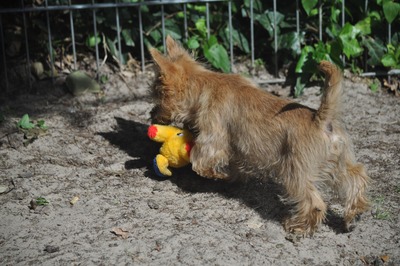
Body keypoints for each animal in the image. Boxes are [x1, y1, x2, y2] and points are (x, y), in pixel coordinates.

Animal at [149, 35, 368, 235]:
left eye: (157, 96)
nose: (151, 115)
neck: (203, 84)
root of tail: (321, 118)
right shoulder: (237, 147)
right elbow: (235, 164)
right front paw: (233, 177)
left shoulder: (213, 138)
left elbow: (200, 161)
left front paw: (218, 175)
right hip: (339, 165)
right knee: (356, 178)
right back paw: (353, 215)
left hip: (296, 174)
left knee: (315, 202)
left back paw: (299, 227)